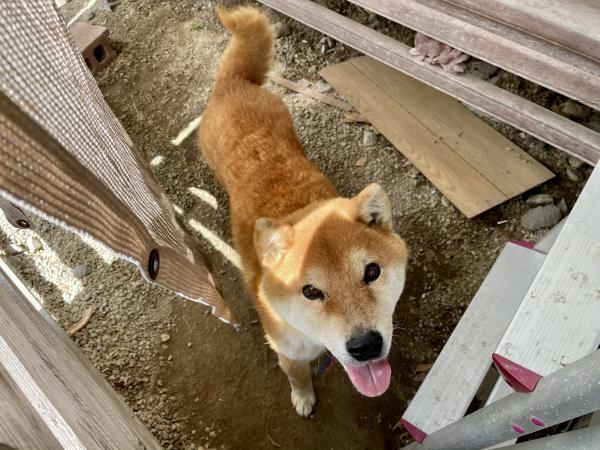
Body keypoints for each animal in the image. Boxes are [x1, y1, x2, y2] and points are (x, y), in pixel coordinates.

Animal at [200, 5, 408, 416]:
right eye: (310, 291)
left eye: (372, 272)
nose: (366, 346)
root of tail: (232, 84)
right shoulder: (287, 350)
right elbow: (297, 376)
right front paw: (303, 397)